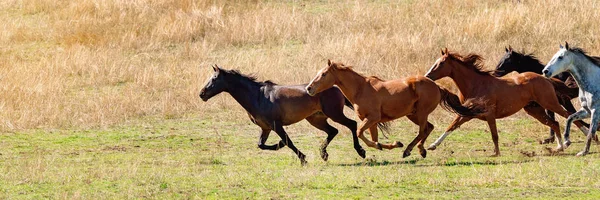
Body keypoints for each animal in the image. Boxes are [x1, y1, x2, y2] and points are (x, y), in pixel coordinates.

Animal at [200, 65, 390, 166]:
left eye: (214, 79)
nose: (202, 94)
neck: (258, 96)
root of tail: (336, 87)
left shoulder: (276, 125)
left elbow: (288, 141)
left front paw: (302, 158)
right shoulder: (265, 127)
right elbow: (261, 145)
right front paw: (280, 146)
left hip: (333, 113)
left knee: (351, 125)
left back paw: (361, 151)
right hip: (316, 119)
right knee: (333, 131)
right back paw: (324, 154)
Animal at [304, 59, 482, 158]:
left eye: (324, 74)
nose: (309, 88)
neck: (360, 88)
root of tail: (436, 86)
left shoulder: (372, 118)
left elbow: (360, 132)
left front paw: (387, 146)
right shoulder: (372, 122)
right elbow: (373, 139)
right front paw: (388, 145)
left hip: (421, 113)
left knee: (423, 130)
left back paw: (412, 150)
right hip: (413, 114)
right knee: (429, 128)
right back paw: (418, 150)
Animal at [424, 48, 588, 156]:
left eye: (441, 63)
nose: (427, 76)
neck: (476, 84)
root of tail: (545, 78)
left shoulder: (489, 114)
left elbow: (494, 134)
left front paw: (496, 153)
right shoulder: (468, 113)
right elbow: (451, 127)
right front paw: (432, 145)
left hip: (550, 103)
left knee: (568, 115)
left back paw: (584, 137)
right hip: (535, 110)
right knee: (554, 123)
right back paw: (559, 147)